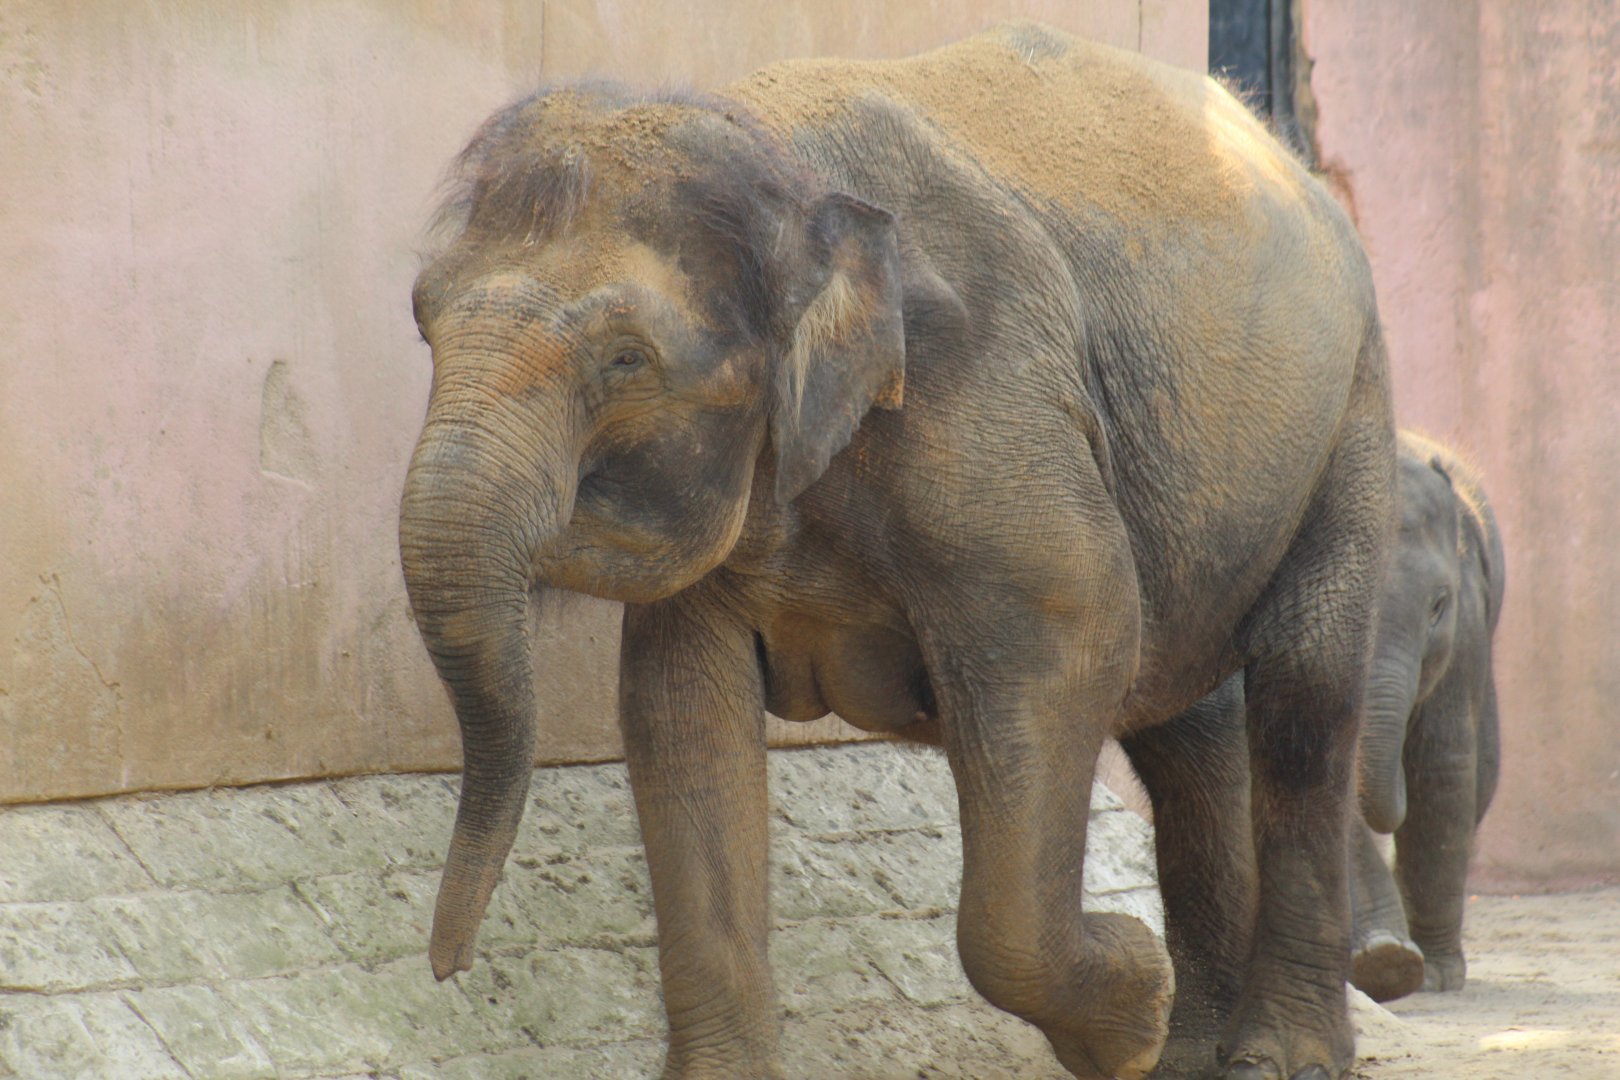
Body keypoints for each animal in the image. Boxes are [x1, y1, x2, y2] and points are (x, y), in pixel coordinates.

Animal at [397, 23, 1394, 1080]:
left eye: (626, 359)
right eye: (423, 319)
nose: (450, 969)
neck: (778, 158)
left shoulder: (993, 409)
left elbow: (1075, 642)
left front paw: (1132, 1001)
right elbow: (679, 713)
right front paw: (1142, 1013)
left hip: (1352, 413)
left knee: (1303, 691)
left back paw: (1273, 1053)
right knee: (1192, 718)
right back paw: (1195, 1052)